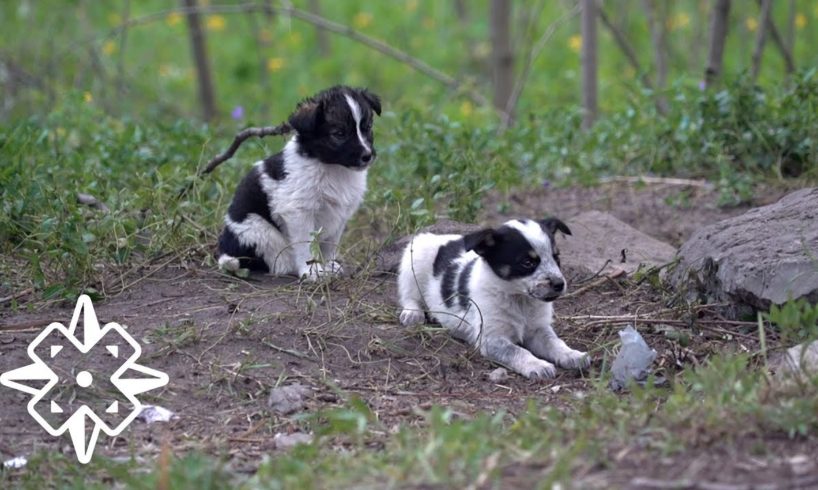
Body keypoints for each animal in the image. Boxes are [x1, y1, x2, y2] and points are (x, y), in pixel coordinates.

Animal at [217, 85, 382, 280]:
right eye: (339, 134)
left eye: (368, 128)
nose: (367, 156)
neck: (331, 166)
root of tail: (226, 249)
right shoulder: (298, 212)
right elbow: (305, 244)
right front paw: (312, 271)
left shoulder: (339, 214)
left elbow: (329, 244)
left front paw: (328, 266)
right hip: (257, 229)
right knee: (275, 259)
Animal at [396, 218, 588, 378]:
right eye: (527, 263)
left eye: (556, 257)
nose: (559, 284)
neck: (519, 300)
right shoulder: (491, 338)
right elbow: (518, 351)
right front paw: (538, 365)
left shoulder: (539, 329)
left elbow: (555, 343)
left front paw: (573, 354)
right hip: (414, 260)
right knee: (409, 295)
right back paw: (413, 313)